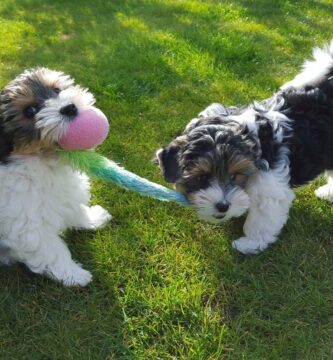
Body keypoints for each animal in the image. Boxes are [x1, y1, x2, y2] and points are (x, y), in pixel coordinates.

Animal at [0, 68, 111, 286]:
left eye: (57, 90)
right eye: (30, 111)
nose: (69, 108)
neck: (45, 161)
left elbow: (74, 208)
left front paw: (92, 219)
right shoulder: (27, 224)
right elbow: (51, 250)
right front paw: (74, 274)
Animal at [155, 39, 332, 255]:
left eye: (235, 175)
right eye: (202, 177)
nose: (222, 206)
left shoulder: (269, 187)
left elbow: (261, 219)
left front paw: (250, 243)